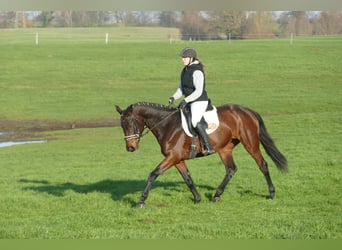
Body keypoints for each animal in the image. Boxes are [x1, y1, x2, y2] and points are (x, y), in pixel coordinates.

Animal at [116, 101, 288, 207]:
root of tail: (247, 111)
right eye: (122, 126)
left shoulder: (172, 157)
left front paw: (141, 201)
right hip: (225, 149)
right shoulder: (177, 159)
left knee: (262, 165)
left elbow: (153, 174)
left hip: (250, 144)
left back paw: (271, 194)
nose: (130, 147)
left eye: (131, 123)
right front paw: (197, 199)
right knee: (231, 169)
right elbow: (187, 178)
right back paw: (216, 195)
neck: (167, 125)